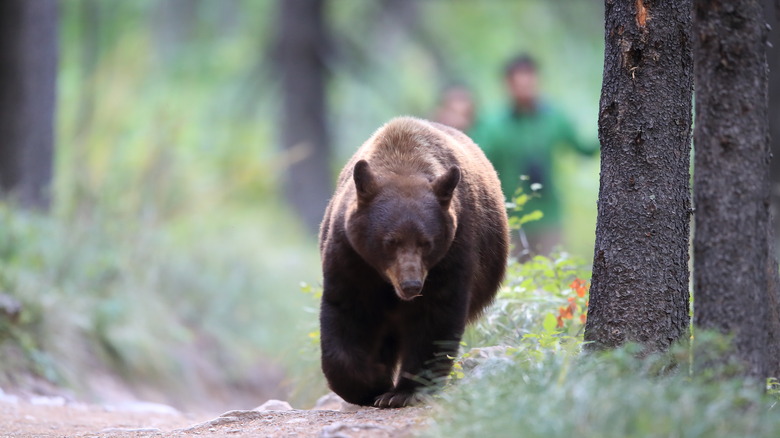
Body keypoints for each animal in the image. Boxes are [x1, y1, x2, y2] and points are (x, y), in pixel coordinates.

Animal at [318, 115, 508, 408]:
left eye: (426, 242)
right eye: (390, 241)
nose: (411, 285)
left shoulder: (454, 249)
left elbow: (435, 318)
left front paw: (401, 391)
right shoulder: (351, 254)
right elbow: (346, 310)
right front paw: (370, 382)